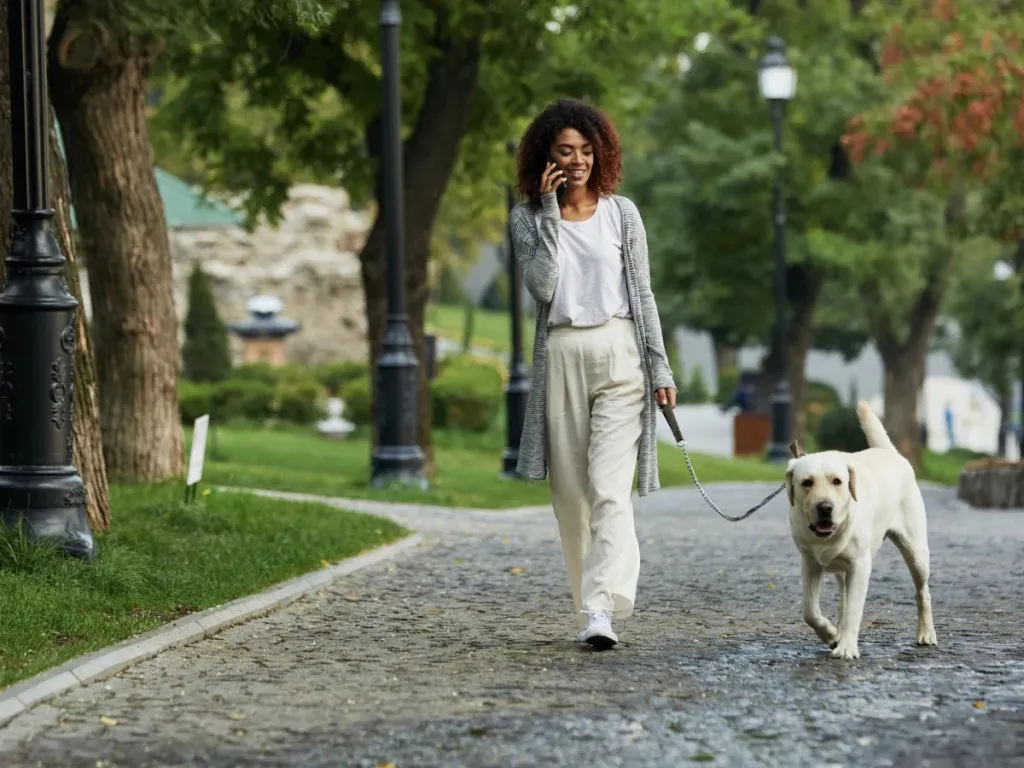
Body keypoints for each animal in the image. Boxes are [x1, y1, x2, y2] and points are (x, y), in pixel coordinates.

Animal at [786, 403, 937, 663]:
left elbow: (854, 610)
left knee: (922, 593)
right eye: (807, 482)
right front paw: (830, 634)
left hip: (916, 552)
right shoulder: (810, 562)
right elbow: (810, 611)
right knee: (842, 600)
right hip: (842, 571)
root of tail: (888, 451)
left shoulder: (860, 565)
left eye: (837, 481)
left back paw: (926, 633)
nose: (825, 507)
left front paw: (846, 647)